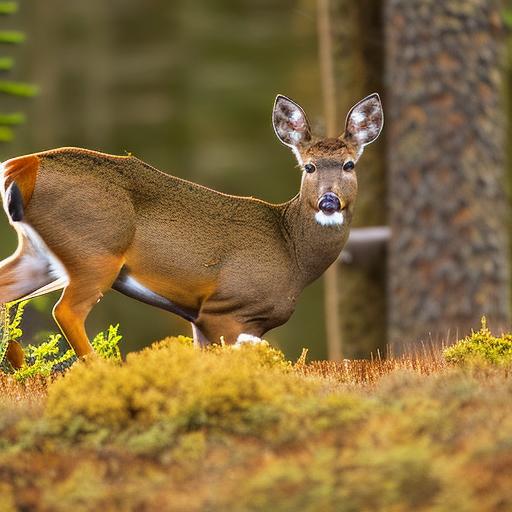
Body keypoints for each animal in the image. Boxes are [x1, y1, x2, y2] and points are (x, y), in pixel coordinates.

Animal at [0, 93, 382, 368]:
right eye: (309, 167)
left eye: (349, 164)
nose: (329, 201)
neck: (293, 253)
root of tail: (24, 166)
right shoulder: (224, 309)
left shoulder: (204, 319)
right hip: (95, 249)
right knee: (65, 311)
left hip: (40, 256)